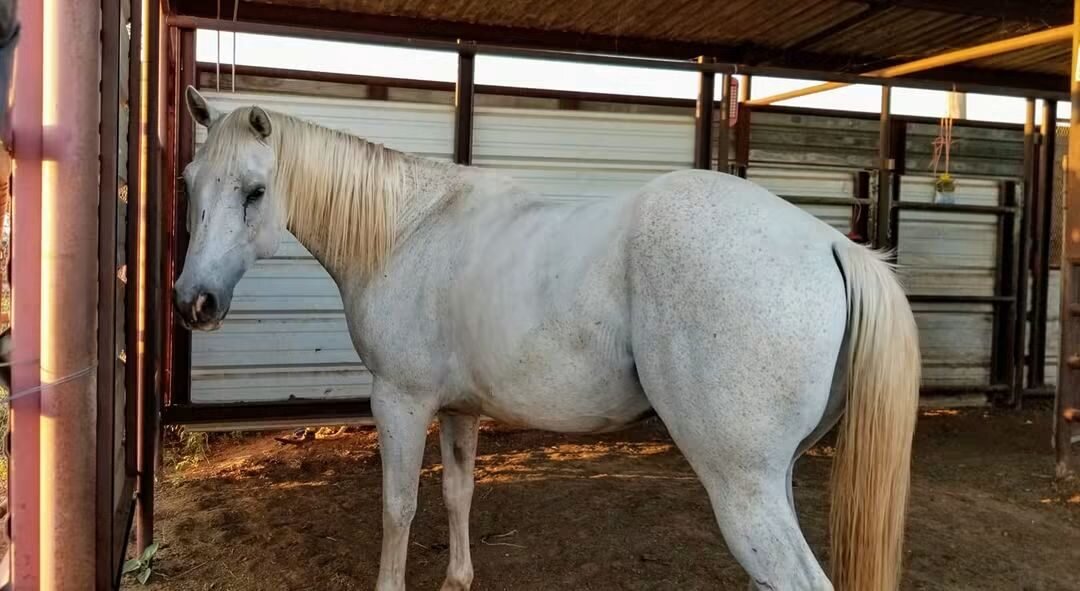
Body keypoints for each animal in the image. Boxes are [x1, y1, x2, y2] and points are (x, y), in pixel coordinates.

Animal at [175, 87, 920, 591]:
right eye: (190, 182)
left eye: (254, 190)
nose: (193, 302)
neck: (408, 228)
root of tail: (831, 244)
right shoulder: (459, 409)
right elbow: (458, 492)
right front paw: (458, 577)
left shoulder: (401, 401)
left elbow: (398, 506)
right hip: (774, 479)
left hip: (742, 485)